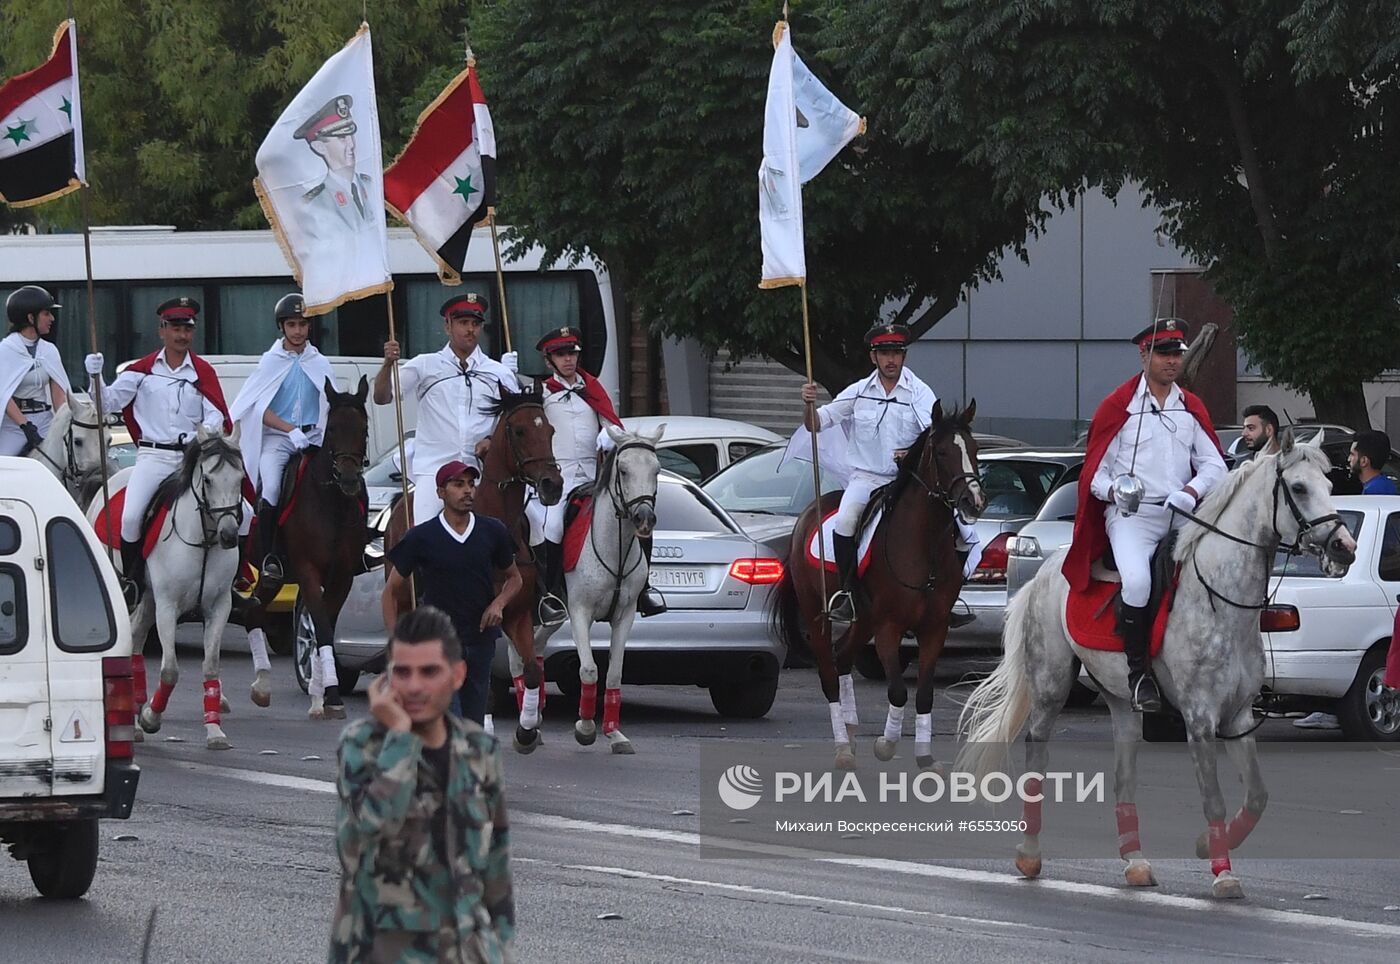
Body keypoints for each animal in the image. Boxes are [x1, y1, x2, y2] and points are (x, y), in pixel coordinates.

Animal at [84, 425, 245, 749]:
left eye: (240, 478)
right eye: (208, 479)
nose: (229, 535)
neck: (203, 540)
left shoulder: (219, 607)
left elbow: (211, 665)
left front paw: (214, 730)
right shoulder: (168, 607)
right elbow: (170, 671)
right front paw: (150, 717)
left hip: (148, 598)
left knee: (135, 637)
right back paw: (135, 721)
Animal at [243, 374, 372, 721]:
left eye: (363, 429)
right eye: (333, 429)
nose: (349, 478)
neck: (331, 504)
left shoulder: (342, 576)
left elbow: (324, 626)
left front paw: (320, 694)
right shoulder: (308, 571)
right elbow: (322, 629)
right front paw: (331, 694)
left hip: (270, 578)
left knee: (252, 613)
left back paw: (262, 686)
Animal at [526, 428, 663, 749]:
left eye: (656, 470)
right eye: (623, 470)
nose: (644, 519)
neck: (614, 547)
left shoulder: (625, 616)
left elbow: (613, 674)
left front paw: (614, 732)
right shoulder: (580, 613)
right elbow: (589, 670)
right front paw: (586, 727)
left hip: (553, 616)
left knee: (536, 648)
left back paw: (535, 714)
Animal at [767, 397, 985, 766]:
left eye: (974, 449)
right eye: (941, 452)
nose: (974, 502)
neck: (922, 543)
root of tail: (807, 514)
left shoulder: (934, 628)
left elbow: (924, 695)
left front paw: (925, 756)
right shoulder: (888, 627)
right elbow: (897, 692)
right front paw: (886, 744)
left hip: (863, 620)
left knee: (843, 658)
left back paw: (852, 729)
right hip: (819, 614)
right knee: (829, 672)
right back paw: (843, 746)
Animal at [952, 433, 1355, 901]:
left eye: (1329, 484)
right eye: (1300, 487)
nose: (1345, 546)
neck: (1221, 601)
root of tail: (1046, 571)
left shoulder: (1238, 718)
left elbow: (1258, 796)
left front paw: (1206, 846)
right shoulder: (1200, 720)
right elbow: (1214, 799)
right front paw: (1222, 872)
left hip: (1122, 703)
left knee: (1123, 776)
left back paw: (1136, 863)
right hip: (1051, 687)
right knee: (1038, 756)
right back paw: (1030, 855)